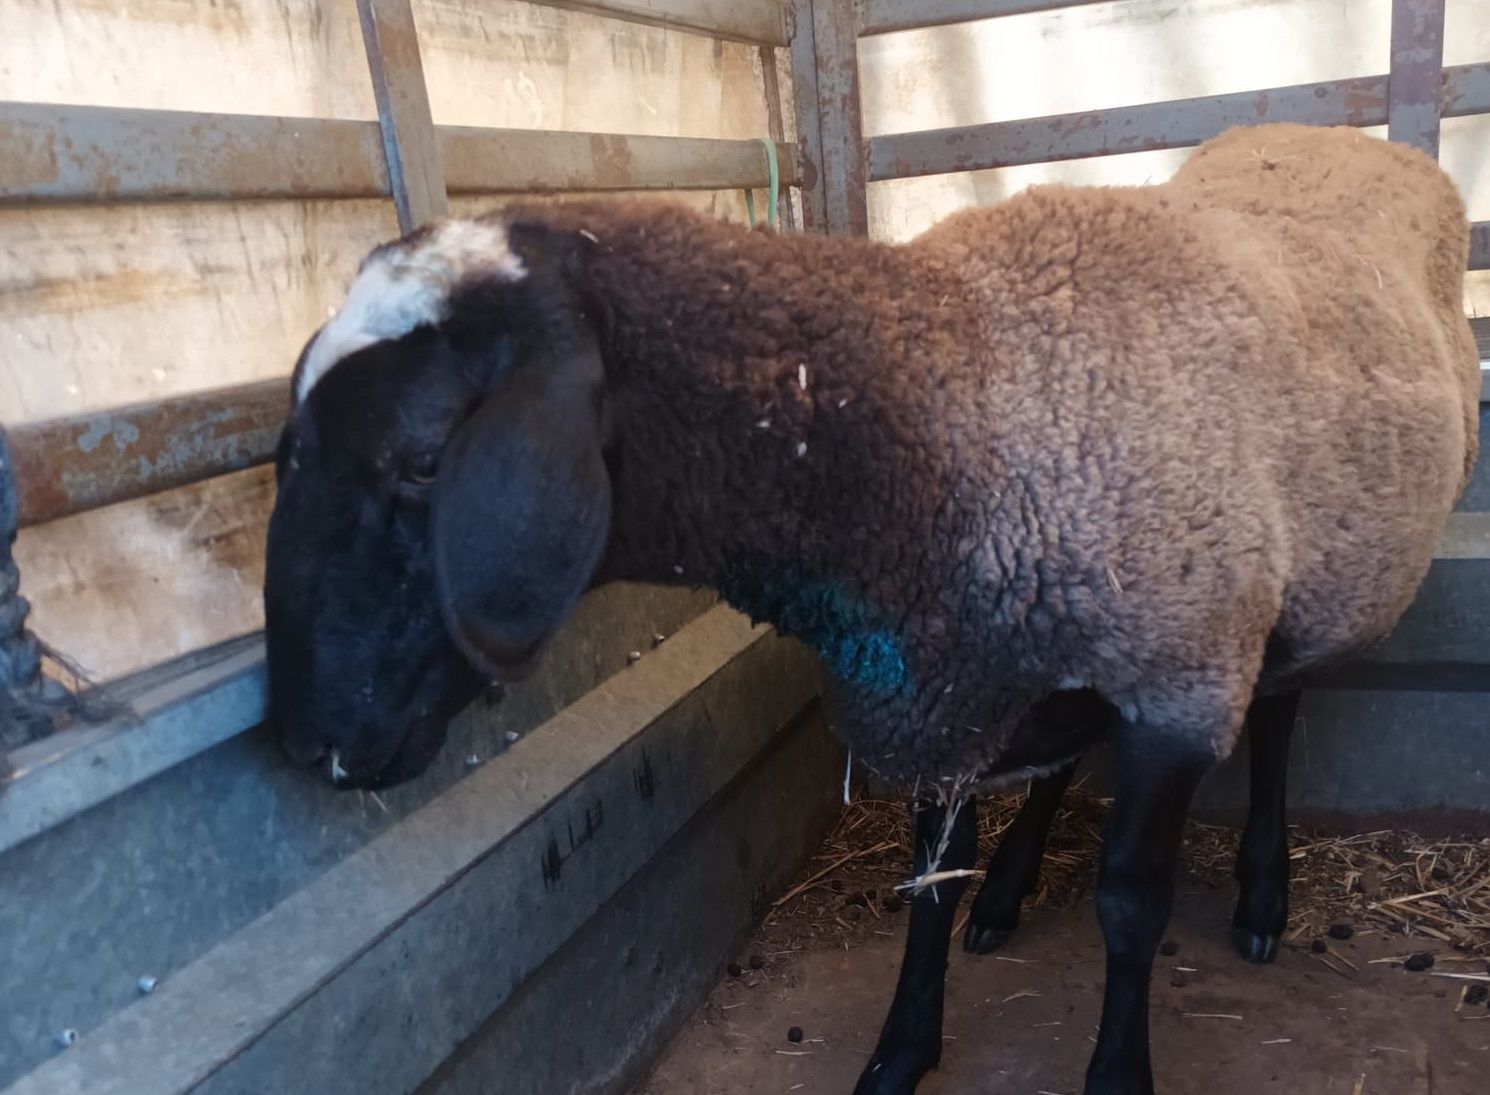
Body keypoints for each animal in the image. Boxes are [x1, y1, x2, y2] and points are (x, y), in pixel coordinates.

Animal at [265, 124, 1478, 1095]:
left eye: (425, 462)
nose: (301, 736)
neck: (949, 407)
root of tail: (1349, 137)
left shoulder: (1176, 676)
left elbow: (1131, 907)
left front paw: (1115, 1071)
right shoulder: (951, 677)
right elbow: (929, 886)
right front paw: (903, 1044)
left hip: (1315, 582)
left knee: (1277, 713)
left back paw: (1263, 898)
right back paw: (1013, 889)